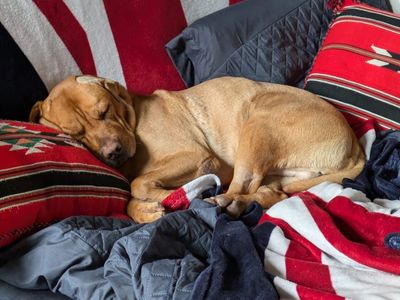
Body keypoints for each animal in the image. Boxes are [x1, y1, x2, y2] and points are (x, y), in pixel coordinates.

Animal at [29, 75, 364, 223]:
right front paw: (148, 211)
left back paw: (218, 201)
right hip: (278, 169)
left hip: (258, 122)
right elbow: (130, 198)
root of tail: (355, 146)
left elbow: (138, 183)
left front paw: (170, 197)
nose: (113, 153)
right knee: (268, 192)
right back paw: (238, 203)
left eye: (103, 112)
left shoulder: (198, 157)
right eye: (76, 134)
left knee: (242, 185)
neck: (132, 117)